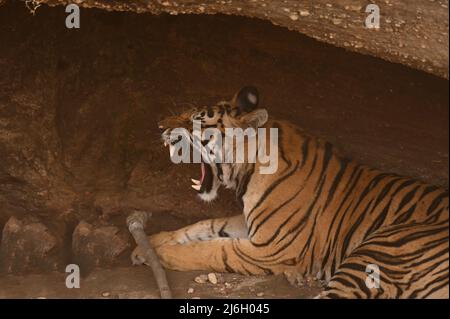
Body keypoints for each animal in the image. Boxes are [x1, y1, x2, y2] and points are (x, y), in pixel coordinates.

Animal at [132, 86, 448, 298]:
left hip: (377, 251)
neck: (248, 169)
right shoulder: (250, 225)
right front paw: (148, 245)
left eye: (195, 120)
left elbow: (210, 249)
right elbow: (203, 226)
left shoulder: (268, 248)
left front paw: (159, 254)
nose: (159, 125)